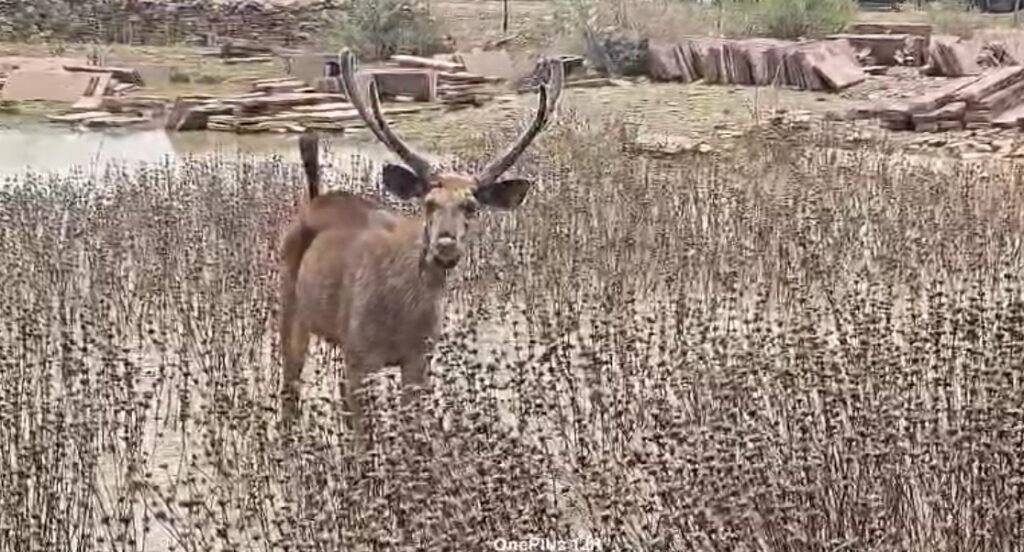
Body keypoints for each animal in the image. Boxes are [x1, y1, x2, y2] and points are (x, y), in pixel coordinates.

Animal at [277, 49, 565, 438]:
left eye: (472, 207)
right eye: (428, 203)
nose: (445, 246)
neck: (402, 316)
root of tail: (315, 200)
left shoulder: (419, 357)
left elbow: (412, 429)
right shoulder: (361, 353)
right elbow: (364, 438)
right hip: (290, 303)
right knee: (290, 387)